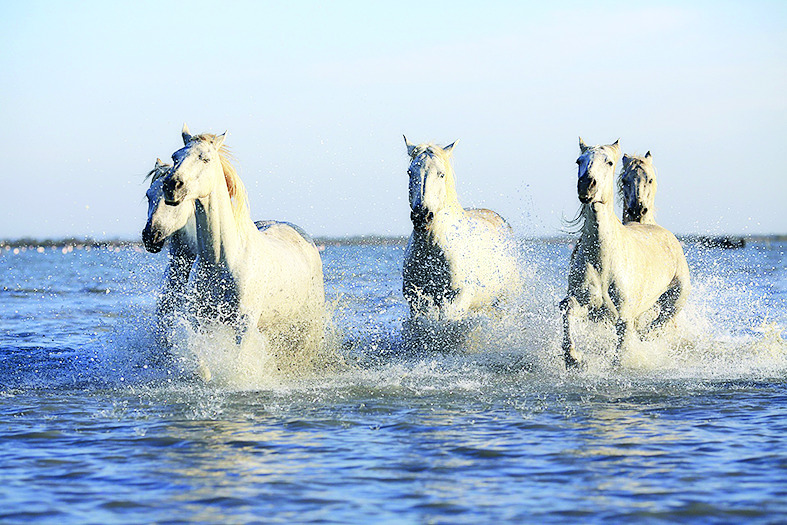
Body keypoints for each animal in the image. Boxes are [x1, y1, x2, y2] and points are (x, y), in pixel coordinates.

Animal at [159, 124, 324, 350]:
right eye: (175, 156)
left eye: (205, 159)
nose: (172, 186)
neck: (221, 260)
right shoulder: (201, 322)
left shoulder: (243, 326)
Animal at [404, 135, 520, 324]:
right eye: (410, 172)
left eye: (441, 174)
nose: (422, 216)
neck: (432, 249)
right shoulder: (417, 300)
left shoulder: (456, 299)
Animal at [560, 139, 688, 368]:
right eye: (579, 161)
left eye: (609, 162)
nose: (586, 185)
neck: (603, 259)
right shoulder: (588, 305)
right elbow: (568, 308)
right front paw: (573, 358)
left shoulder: (624, 317)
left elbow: (621, 352)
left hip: (673, 301)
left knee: (658, 324)